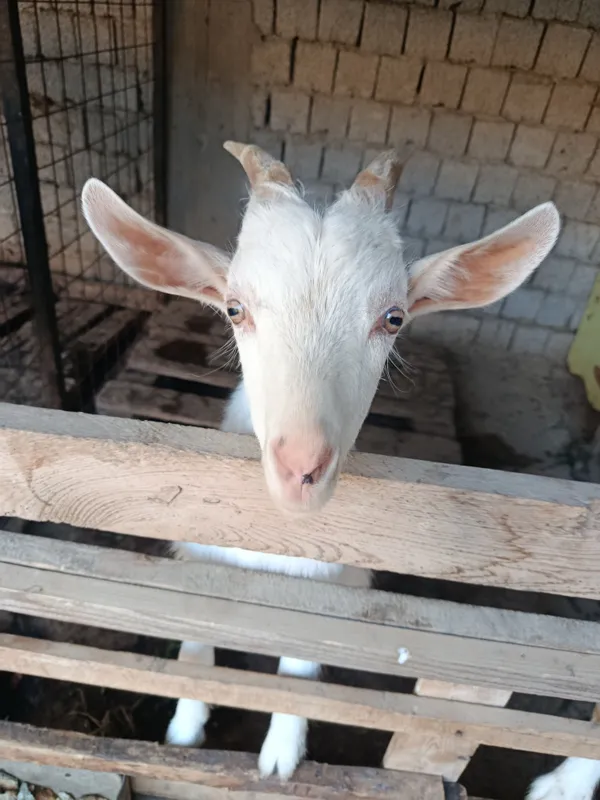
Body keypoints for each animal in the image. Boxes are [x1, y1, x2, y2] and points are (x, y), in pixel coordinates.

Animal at [82, 144, 585, 799]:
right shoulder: (198, 560)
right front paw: (183, 736)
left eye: (394, 318)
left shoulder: (324, 592)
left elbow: (299, 670)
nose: (301, 468)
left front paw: (279, 757)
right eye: (235, 309)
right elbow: (193, 645)